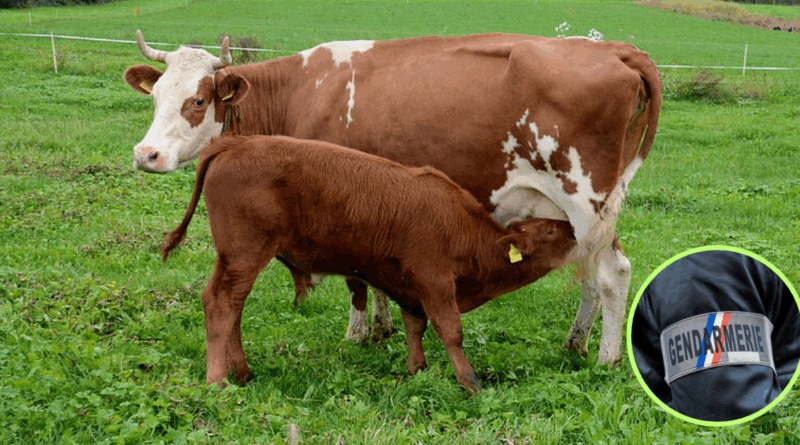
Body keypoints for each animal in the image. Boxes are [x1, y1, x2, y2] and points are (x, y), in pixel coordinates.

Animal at [124, 30, 661, 365]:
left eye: (197, 101)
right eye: (155, 98)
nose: (146, 154)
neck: (300, 92)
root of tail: (616, 50)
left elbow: (354, 279)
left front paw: (358, 334)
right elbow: (372, 272)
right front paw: (382, 330)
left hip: (585, 196)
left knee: (614, 273)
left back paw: (608, 358)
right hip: (583, 212)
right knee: (590, 270)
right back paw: (575, 343)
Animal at [162, 134, 578, 392]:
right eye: (549, 231)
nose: (574, 229)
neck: (463, 227)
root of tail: (236, 142)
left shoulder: (410, 285)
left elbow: (415, 326)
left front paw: (417, 369)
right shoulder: (435, 280)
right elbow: (450, 331)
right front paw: (470, 381)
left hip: (236, 259)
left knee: (232, 306)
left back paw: (244, 372)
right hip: (245, 254)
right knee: (221, 304)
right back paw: (218, 380)